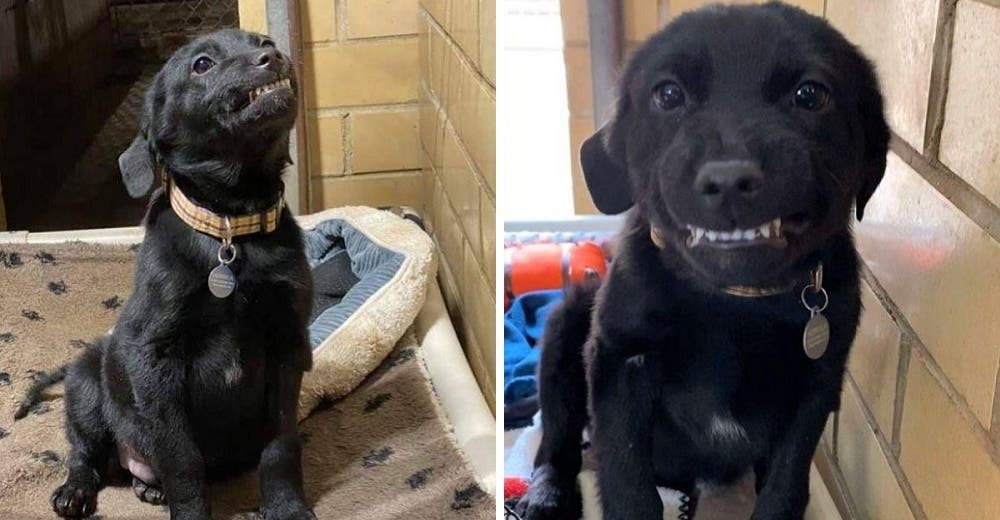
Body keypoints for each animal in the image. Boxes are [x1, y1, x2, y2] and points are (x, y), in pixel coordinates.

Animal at [20, 29, 316, 520]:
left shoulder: (288, 344)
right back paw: (75, 491)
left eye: (262, 41)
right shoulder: (155, 359)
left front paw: (287, 507)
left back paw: (148, 489)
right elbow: (181, 459)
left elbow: (280, 444)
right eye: (202, 64)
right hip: (85, 381)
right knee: (85, 453)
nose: (273, 56)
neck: (230, 228)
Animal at [520, 4, 888, 520]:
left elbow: (785, 486)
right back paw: (545, 494)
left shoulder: (815, 385)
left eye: (810, 94)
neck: (735, 299)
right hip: (567, 322)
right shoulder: (620, 360)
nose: (729, 180)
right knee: (556, 440)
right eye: (668, 94)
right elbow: (627, 481)